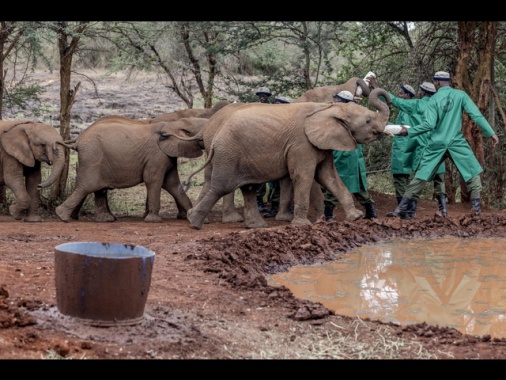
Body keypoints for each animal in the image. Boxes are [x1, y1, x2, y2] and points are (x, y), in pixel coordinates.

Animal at [54, 116, 207, 223]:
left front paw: (195, 218)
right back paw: (62, 216)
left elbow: (173, 184)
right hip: (92, 158)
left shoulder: (167, 155)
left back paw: (105, 219)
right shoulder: (156, 155)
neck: (174, 123)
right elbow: (153, 180)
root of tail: (78, 140)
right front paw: (154, 221)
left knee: (97, 188)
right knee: (87, 185)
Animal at [185, 88, 392, 230]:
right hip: (229, 153)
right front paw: (303, 225)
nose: (388, 96)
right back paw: (194, 222)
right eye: (368, 121)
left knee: (248, 188)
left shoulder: (320, 144)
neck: (327, 108)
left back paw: (255, 226)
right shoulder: (301, 144)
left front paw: (355, 217)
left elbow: (329, 176)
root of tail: (214, 134)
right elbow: (304, 176)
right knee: (221, 187)